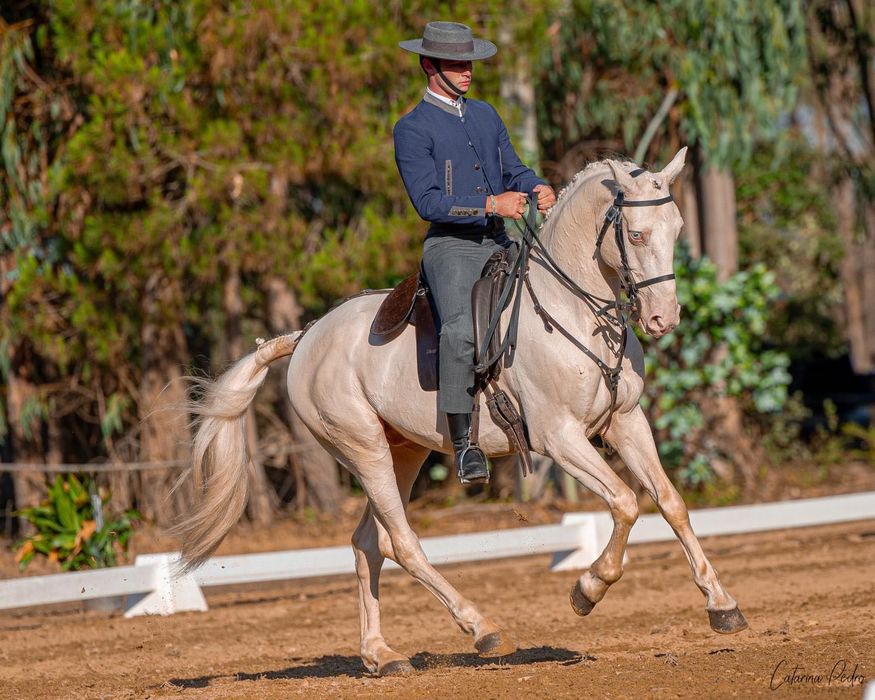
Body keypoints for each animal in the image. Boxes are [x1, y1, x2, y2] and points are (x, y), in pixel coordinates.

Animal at [172, 147, 748, 677]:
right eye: (636, 234)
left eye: (676, 228)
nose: (663, 319)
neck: (574, 310)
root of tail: (308, 335)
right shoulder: (561, 437)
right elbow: (627, 503)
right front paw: (588, 590)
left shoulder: (626, 422)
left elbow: (671, 503)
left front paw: (722, 606)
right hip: (363, 448)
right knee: (401, 542)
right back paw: (484, 629)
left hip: (402, 451)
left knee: (368, 543)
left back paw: (381, 655)